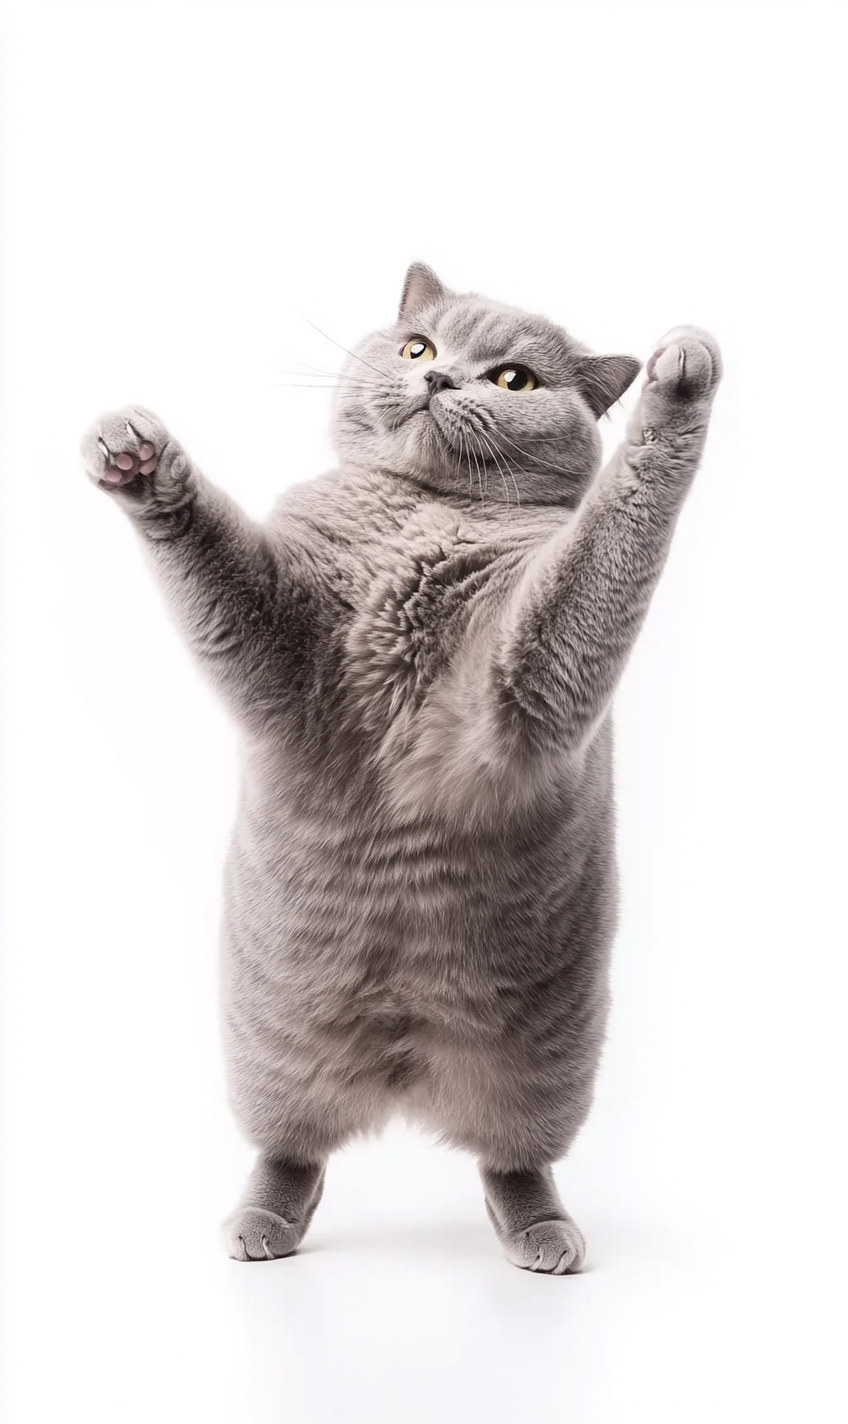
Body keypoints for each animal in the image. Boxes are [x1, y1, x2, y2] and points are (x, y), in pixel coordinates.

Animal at [79, 262, 719, 1275]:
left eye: (513, 380)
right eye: (419, 345)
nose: (439, 377)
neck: (421, 522)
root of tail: (405, 1064)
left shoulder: (528, 677)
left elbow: (608, 537)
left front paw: (681, 382)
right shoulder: (283, 652)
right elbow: (216, 554)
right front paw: (139, 458)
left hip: (547, 1067)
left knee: (512, 1159)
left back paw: (543, 1232)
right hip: (268, 1049)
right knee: (292, 1148)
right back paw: (261, 1223)